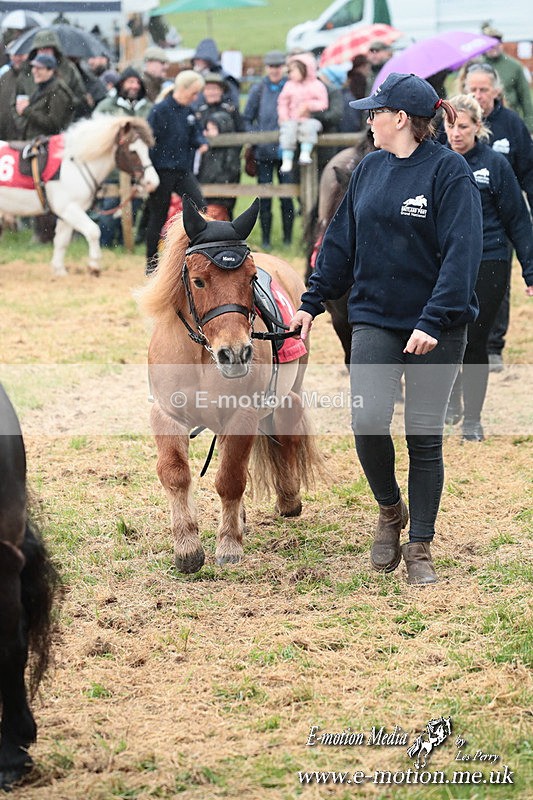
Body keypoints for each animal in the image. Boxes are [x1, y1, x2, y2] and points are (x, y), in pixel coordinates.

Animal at [0, 115, 159, 276]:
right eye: (133, 151)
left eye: (147, 149)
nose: (152, 182)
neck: (74, 164)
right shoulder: (69, 208)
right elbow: (93, 231)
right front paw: (94, 265)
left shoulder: (67, 213)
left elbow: (61, 241)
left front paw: (59, 271)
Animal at [137, 197, 324, 574]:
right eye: (198, 281)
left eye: (250, 278)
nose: (235, 353)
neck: (201, 355)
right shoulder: (166, 416)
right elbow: (175, 473)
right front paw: (187, 548)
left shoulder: (242, 417)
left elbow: (231, 479)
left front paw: (229, 544)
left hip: (290, 391)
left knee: (287, 434)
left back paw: (288, 498)